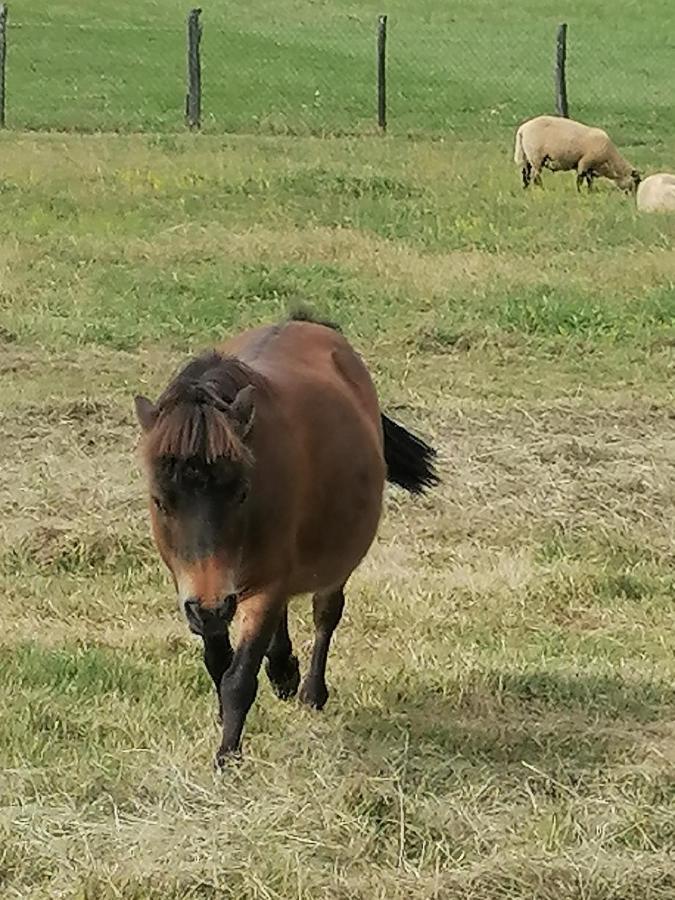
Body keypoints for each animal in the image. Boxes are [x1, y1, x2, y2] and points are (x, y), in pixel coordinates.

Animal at [136, 312, 438, 768]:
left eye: (242, 492)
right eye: (160, 500)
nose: (211, 607)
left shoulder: (263, 585)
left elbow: (239, 677)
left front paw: (227, 756)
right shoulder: (197, 589)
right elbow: (217, 660)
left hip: (332, 563)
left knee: (325, 614)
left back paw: (309, 689)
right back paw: (283, 672)